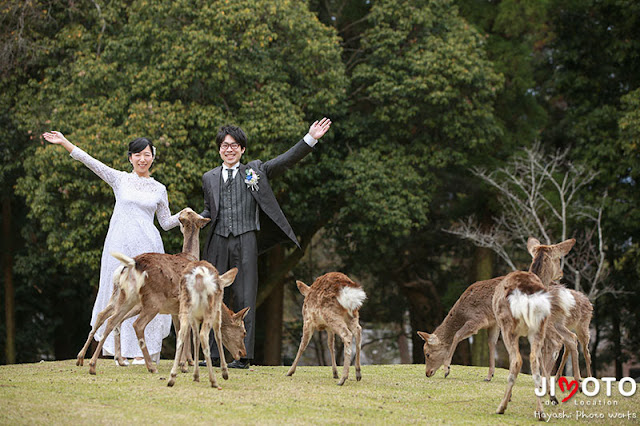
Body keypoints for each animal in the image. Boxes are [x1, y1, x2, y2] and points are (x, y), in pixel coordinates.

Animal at [492, 238, 576, 418]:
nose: (561, 273)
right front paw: (552, 397)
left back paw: (501, 407)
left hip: (508, 326)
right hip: (539, 326)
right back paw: (541, 411)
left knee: (518, 360)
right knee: (536, 359)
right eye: (558, 259)